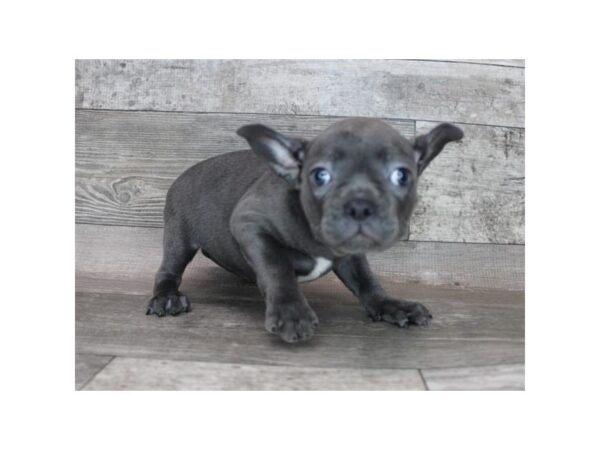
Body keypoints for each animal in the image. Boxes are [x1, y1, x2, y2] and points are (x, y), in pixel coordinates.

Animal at [146, 118, 464, 342]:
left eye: (402, 175)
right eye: (320, 175)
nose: (360, 205)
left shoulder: (351, 256)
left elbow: (367, 281)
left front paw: (391, 306)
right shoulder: (250, 224)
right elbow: (277, 267)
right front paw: (291, 312)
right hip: (178, 237)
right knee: (168, 270)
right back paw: (167, 298)